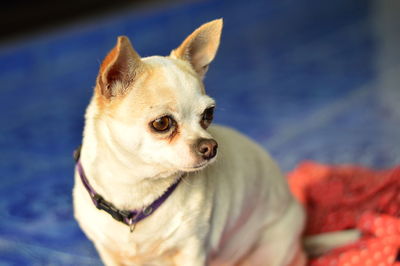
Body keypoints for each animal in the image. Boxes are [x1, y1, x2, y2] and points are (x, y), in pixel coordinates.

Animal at [72, 19, 360, 266]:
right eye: (162, 123)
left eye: (208, 115)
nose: (210, 147)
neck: (137, 193)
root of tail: (300, 241)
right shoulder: (109, 253)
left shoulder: (192, 250)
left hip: (271, 252)